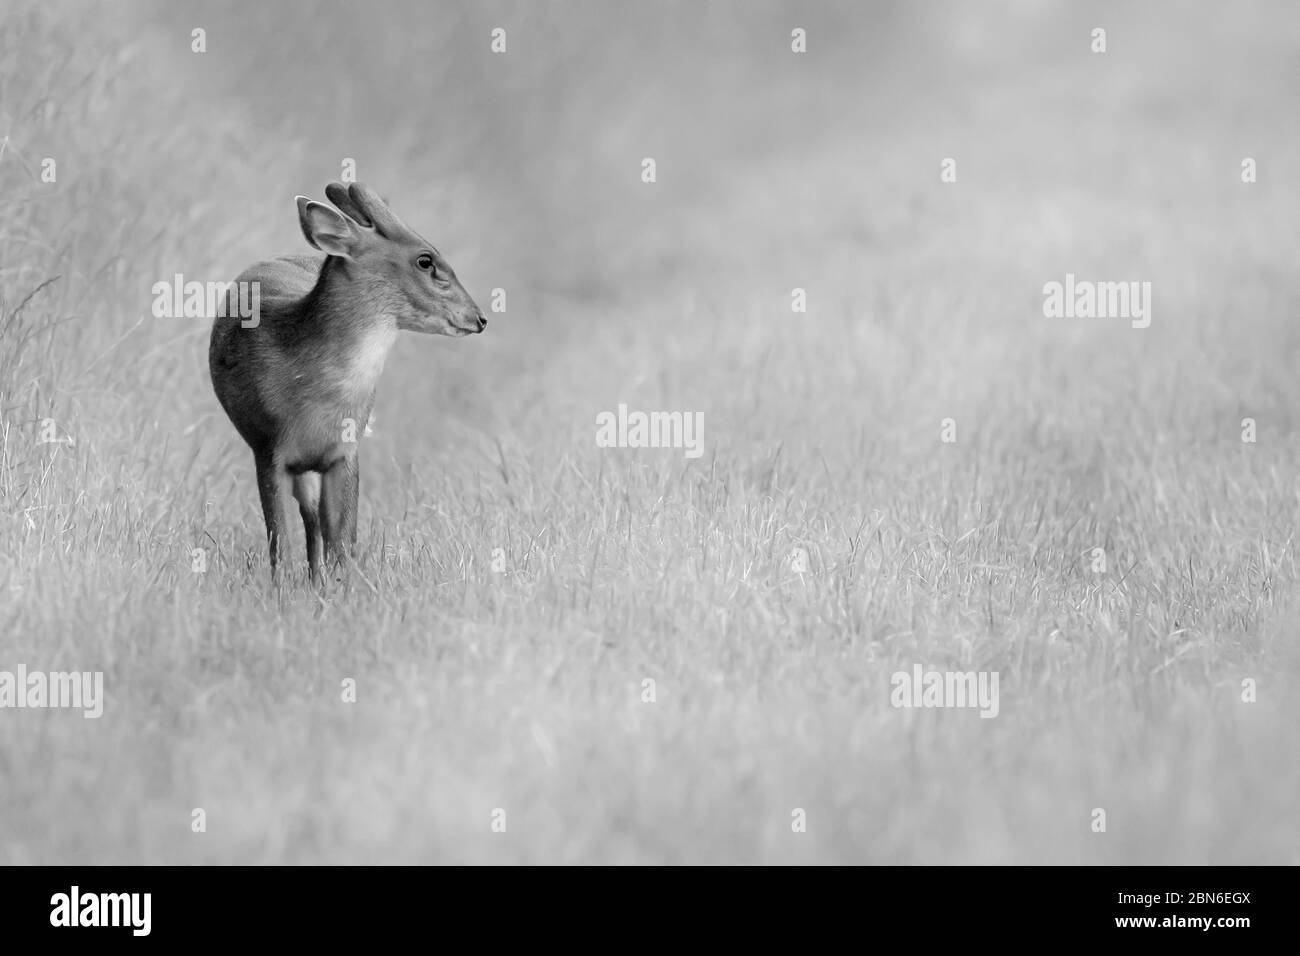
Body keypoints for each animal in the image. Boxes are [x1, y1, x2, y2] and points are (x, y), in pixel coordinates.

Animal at [210, 179, 486, 582]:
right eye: (425, 260)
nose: (479, 318)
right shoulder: (267, 449)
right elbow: (281, 546)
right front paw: (285, 589)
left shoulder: (346, 451)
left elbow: (343, 540)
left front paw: (341, 587)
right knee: (309, 524)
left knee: (320, 528)